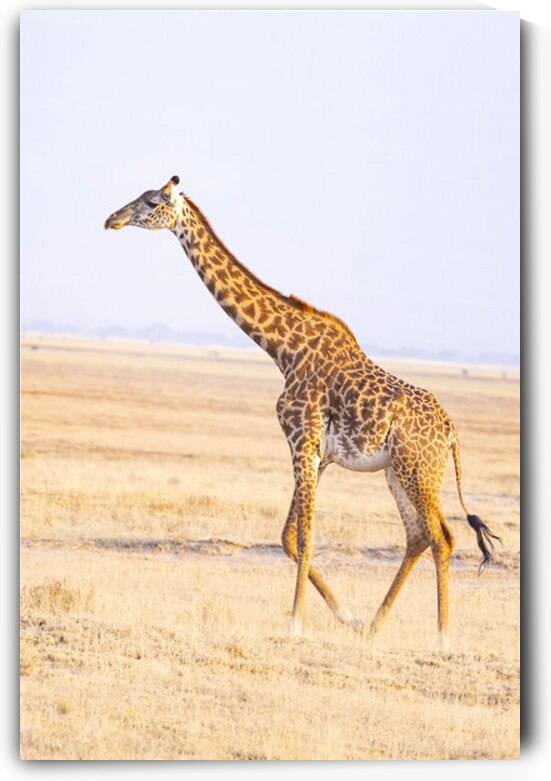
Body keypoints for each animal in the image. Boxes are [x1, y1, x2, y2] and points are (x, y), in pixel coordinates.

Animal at [105, 175, 501, 647]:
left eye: (151, 202)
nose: (112, 219)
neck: (282, 349)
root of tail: (452, 432)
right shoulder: (317, 453)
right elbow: (289, 538)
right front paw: (345, 616)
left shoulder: (301, 440)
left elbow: (306, 538)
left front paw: (295, 624)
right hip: (398, 472)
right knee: (419, 536)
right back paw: (373, 624)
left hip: (418, 470)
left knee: (442, 537)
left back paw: (441, 638)